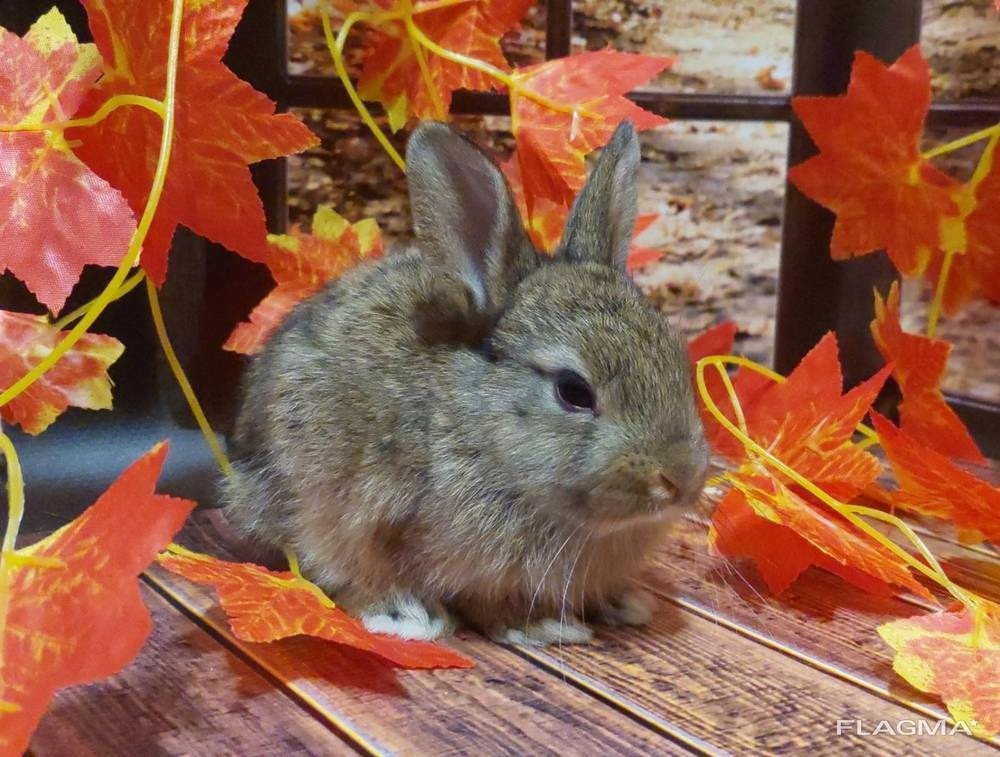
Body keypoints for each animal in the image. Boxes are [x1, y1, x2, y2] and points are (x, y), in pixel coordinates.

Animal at [222, 120, 708, 646]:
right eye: (573, 391)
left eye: (677, 357)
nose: (680, 479)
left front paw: (623, 602)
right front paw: (540, 626)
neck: (492, 434)